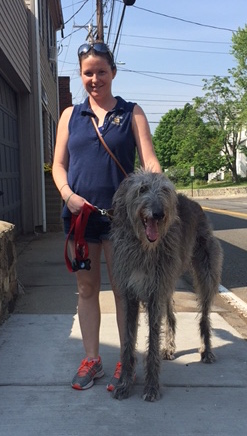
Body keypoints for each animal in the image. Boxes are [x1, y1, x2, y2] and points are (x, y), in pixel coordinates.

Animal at [111, 169, 223, 400]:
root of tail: (196, 204)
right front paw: (124, 383)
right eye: (142, 189)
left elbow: (153, 341)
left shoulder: (155, 295)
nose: (158, 213)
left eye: (164, 190)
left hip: (205, 271)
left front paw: (152, 387)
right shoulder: (131, 295)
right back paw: (170, 348)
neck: (143, 247)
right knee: (171, 317)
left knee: (204, 317)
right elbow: (128, 341)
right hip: (169, 282)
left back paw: (206, 351)